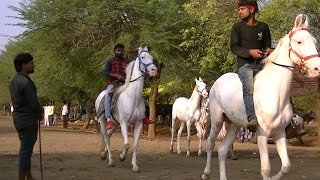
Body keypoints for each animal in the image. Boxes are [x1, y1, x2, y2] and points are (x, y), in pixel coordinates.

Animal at [202, 14, 320, 180]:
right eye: (299, 41)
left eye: (314, 41)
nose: (317, 68)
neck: (276, 93)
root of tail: (217, 83)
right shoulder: (262, 135)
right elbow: (265, 168)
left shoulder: (279, 133)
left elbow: (286, 166)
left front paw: (274, 177)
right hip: (218, 120)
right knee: (210, 144)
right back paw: (206, 173)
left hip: (234, 125)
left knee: (222, 151)